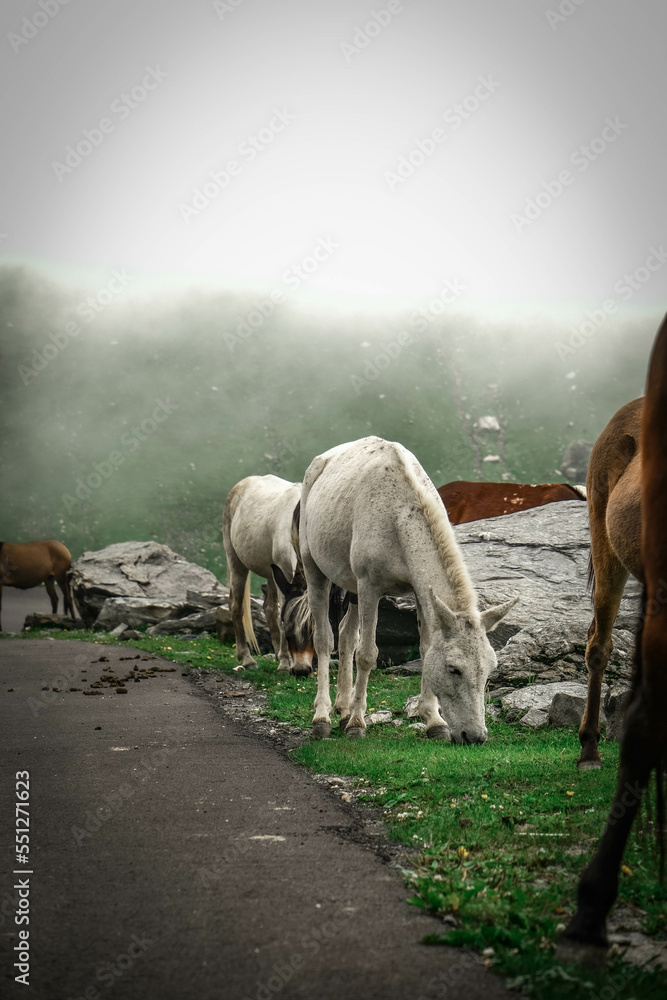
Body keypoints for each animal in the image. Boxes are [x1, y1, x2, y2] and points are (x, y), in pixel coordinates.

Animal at [222, 475, 313, 676]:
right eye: (288, 626)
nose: (301, 670)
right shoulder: (285, 571)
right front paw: (285, 664)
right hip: (236, 562)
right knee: (236, 606)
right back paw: (247, 659)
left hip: (272, 574)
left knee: (270, 609)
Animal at [299, 436, 518, 740]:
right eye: (454, 669)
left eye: (490, 669)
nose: (475, 737)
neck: (398, 518)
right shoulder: (369, 585)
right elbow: (367, 654)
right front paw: (357, 723)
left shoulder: (418, 590)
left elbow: (425, 648)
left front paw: (434, 721)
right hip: (314, 567)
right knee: (324, 638)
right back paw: (323, 717)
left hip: (350, 585)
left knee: (345, 634)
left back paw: (342, 709)